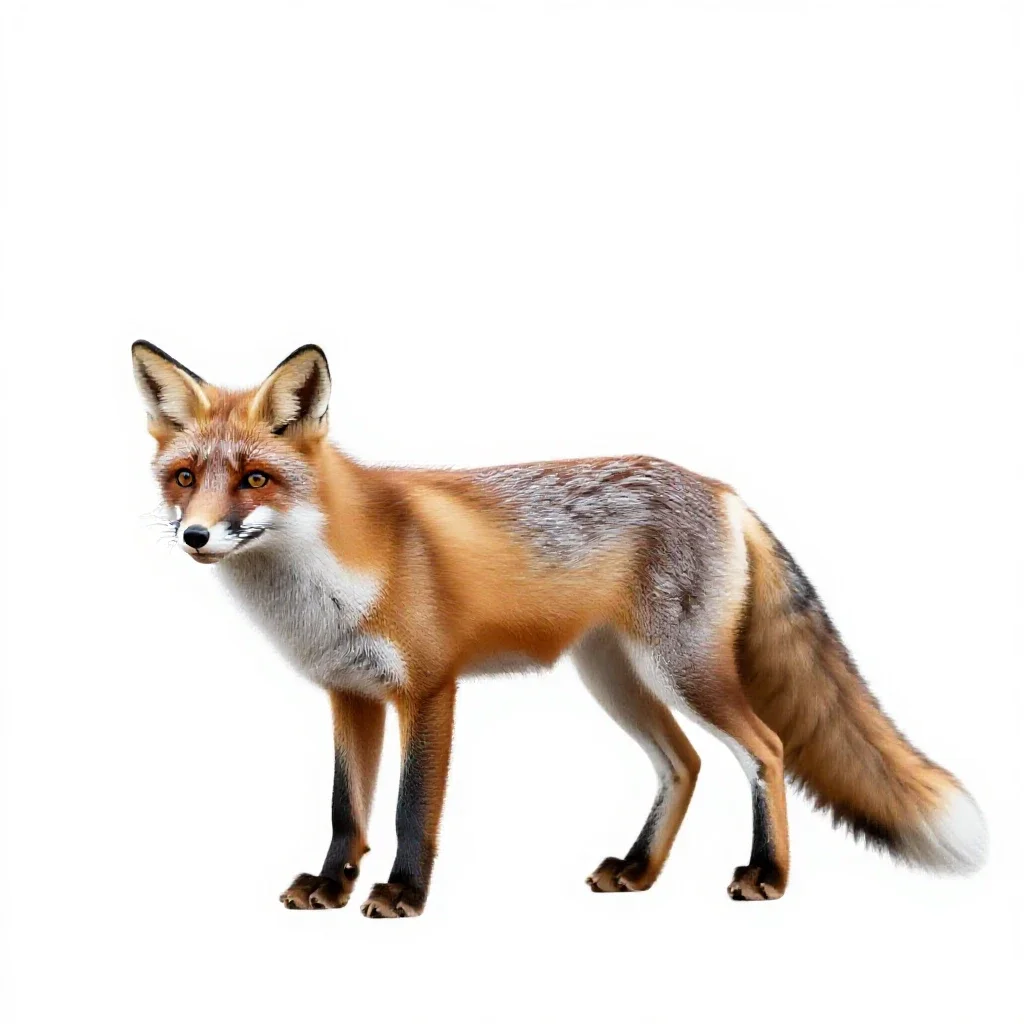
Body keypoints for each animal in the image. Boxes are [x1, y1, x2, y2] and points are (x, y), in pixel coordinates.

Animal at [132, 340, 987, 916]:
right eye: (184, 478)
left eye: (255, 478)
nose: (195, 535)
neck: (326, 577)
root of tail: (720, 488)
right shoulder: (350, 694)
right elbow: (349, 810)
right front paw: (331, 884)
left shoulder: (429, 689)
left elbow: (410, 811)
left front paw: (403, 894)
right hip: (615, 679)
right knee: (684, 764)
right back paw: (638, 872)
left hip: (685, 672)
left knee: (767, 750)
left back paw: (768, 877)